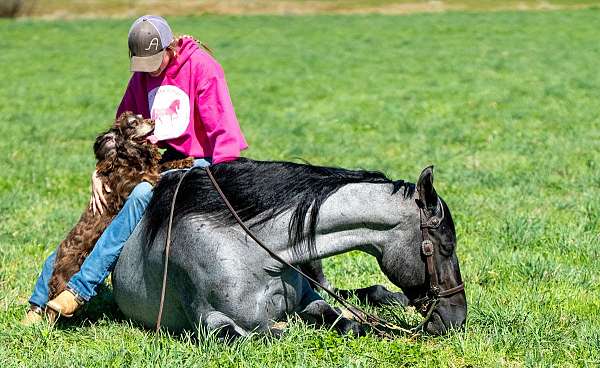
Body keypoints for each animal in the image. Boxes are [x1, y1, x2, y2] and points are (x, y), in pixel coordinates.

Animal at [112, 158, 468, 336]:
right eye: (446, 246)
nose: (458, 318)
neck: (257, 254)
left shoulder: (309, 299)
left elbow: (345, 321)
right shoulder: (211, 322)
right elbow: (268, 332)